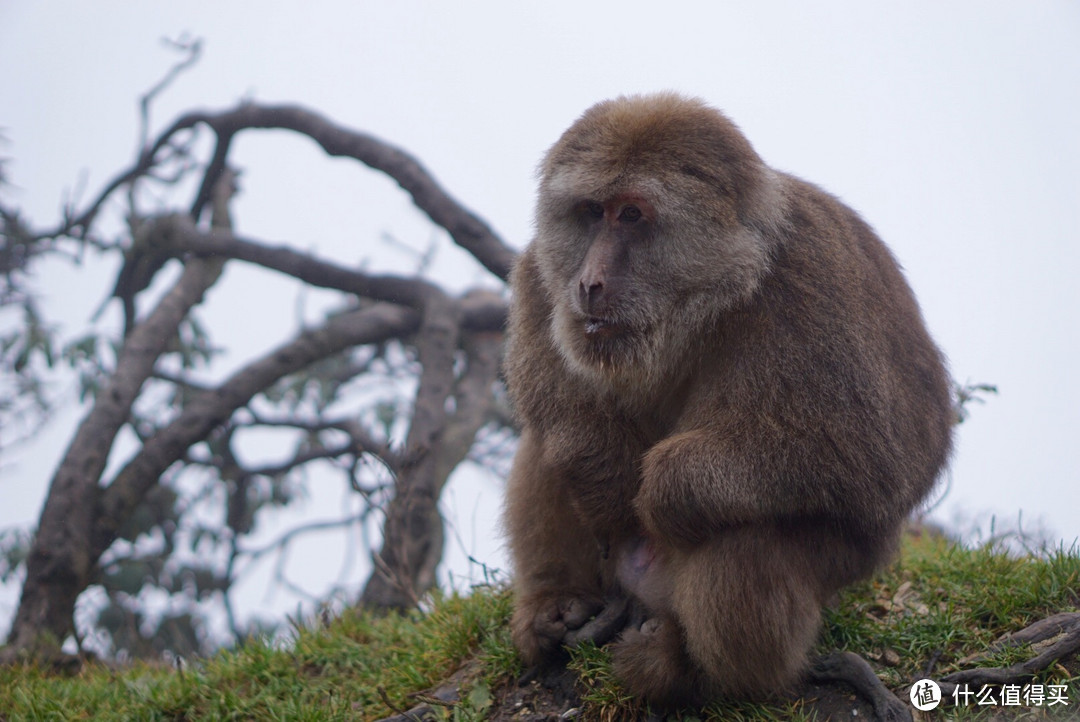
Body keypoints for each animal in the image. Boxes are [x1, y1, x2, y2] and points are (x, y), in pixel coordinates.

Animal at [501, 92, 950, 707]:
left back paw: (698, 674)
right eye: (592, 212)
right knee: (546, 446)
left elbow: (875, 459)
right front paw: (603, 475)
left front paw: (663, 486)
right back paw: (558, 606)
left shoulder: (812, 280)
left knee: (744, 525)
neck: (710, 297)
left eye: (632, 216)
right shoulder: (543, 272)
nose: (590, 282)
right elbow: (560, 412)